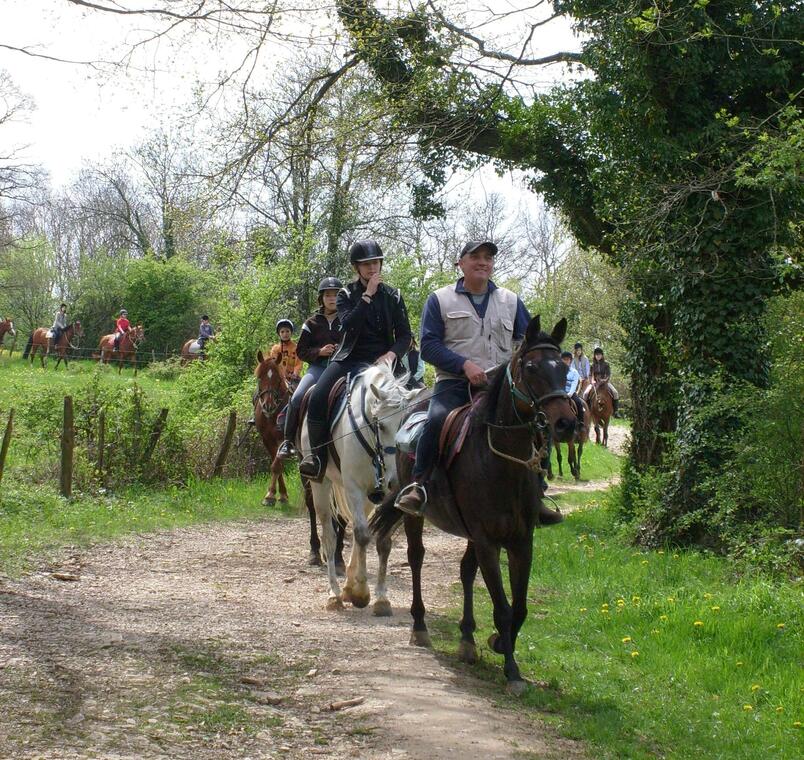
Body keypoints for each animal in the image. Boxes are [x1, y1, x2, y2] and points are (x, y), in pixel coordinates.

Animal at [370, 314, 576, 696]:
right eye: (531, 367)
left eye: (564, 367)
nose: (565, 423)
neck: (501, 462)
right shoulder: (487, 541)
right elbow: (504, 608)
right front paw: (512, 671)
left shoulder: (521, 541)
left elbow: (519, 607)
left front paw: (498, 643)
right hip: (417, 517)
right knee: (416, 558)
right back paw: (419, 627)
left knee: (466, 571)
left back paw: (466, 639)